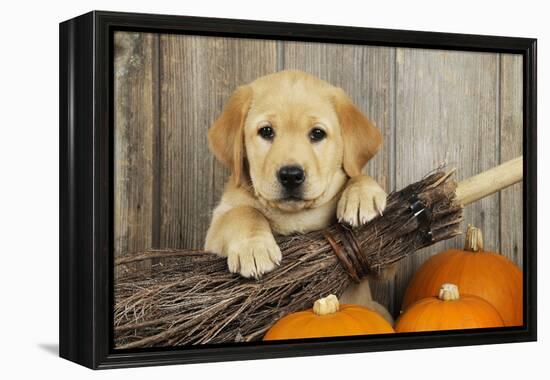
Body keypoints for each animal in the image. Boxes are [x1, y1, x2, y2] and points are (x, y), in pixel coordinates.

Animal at [206, 70, 392, 320]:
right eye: (266, 131)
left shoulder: (381, 264)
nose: (291, 175)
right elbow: (243, 213)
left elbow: (355, 174)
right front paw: (253, 247)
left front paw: (362, 194)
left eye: (317, 133)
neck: (296, 215)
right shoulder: (212, 234)